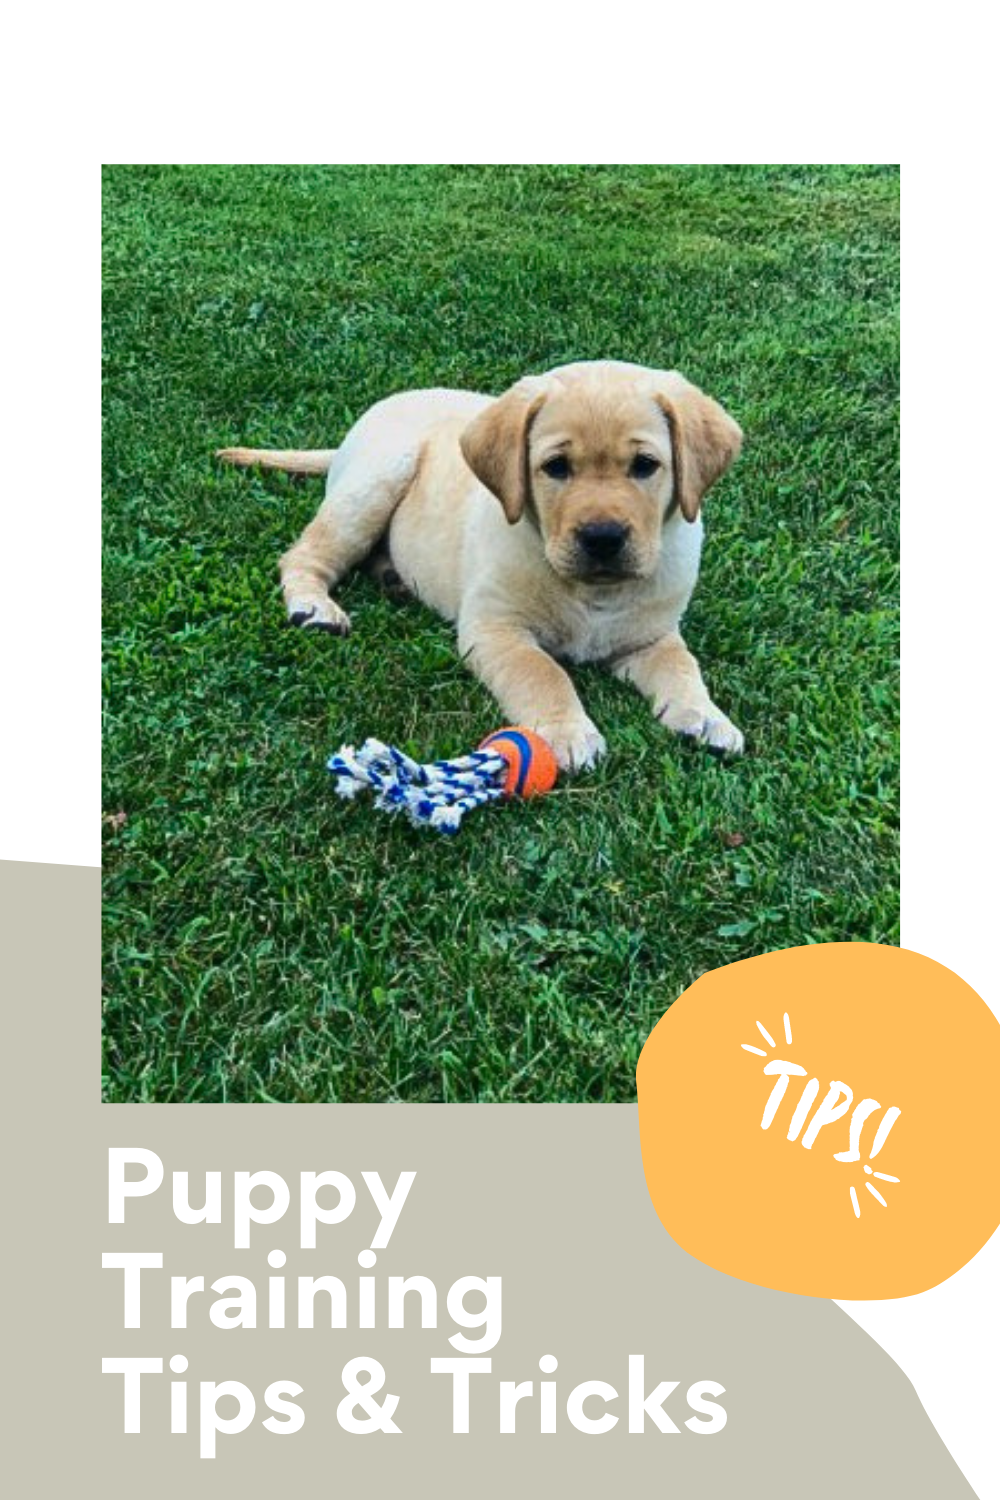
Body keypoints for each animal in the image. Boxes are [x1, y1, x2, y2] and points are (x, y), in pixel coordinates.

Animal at [220, 357, 749, 768]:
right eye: (557, 467)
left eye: (644, 465)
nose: (603, 538)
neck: (592, 591)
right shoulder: (496, 630)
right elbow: (543, 673)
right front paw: (567, 731)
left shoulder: (651, 636)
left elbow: (682, 666)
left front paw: (706, 716)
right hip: (373, 485)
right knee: (305, 553)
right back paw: (314, 605)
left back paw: (393, 578)